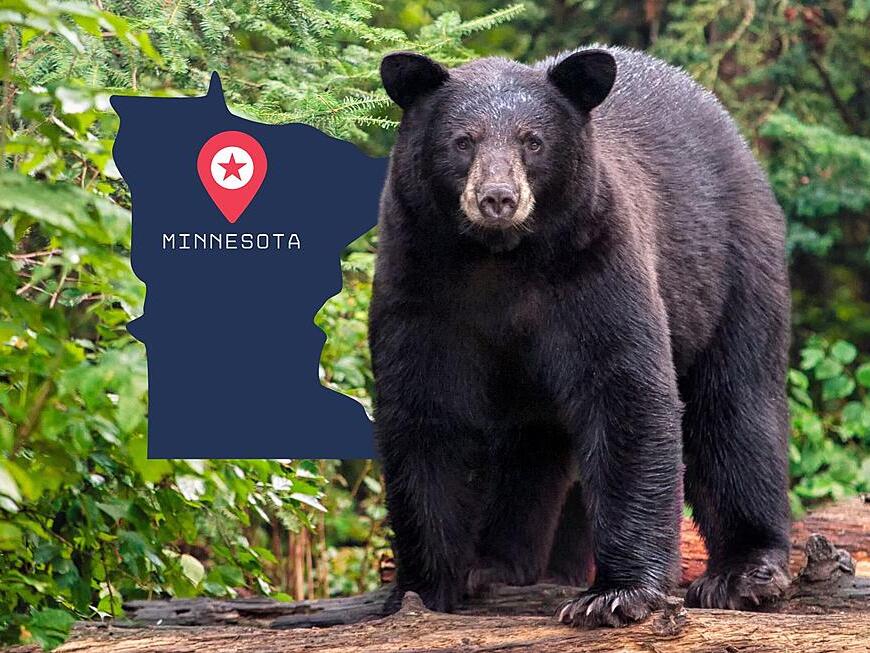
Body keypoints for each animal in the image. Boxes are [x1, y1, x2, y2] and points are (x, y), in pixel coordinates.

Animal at [369, 45, 792, 628]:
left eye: (533, 141)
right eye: (463, 140)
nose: (497, 198)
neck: (499, 259)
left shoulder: (593, 263)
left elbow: (626, 391)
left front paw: (616, 594)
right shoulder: (420, 281)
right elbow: (425, 413)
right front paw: (421, 590)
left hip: (731, 268)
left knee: (736, 406)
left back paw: (744, 571)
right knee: (528, 447)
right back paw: (497, 564)